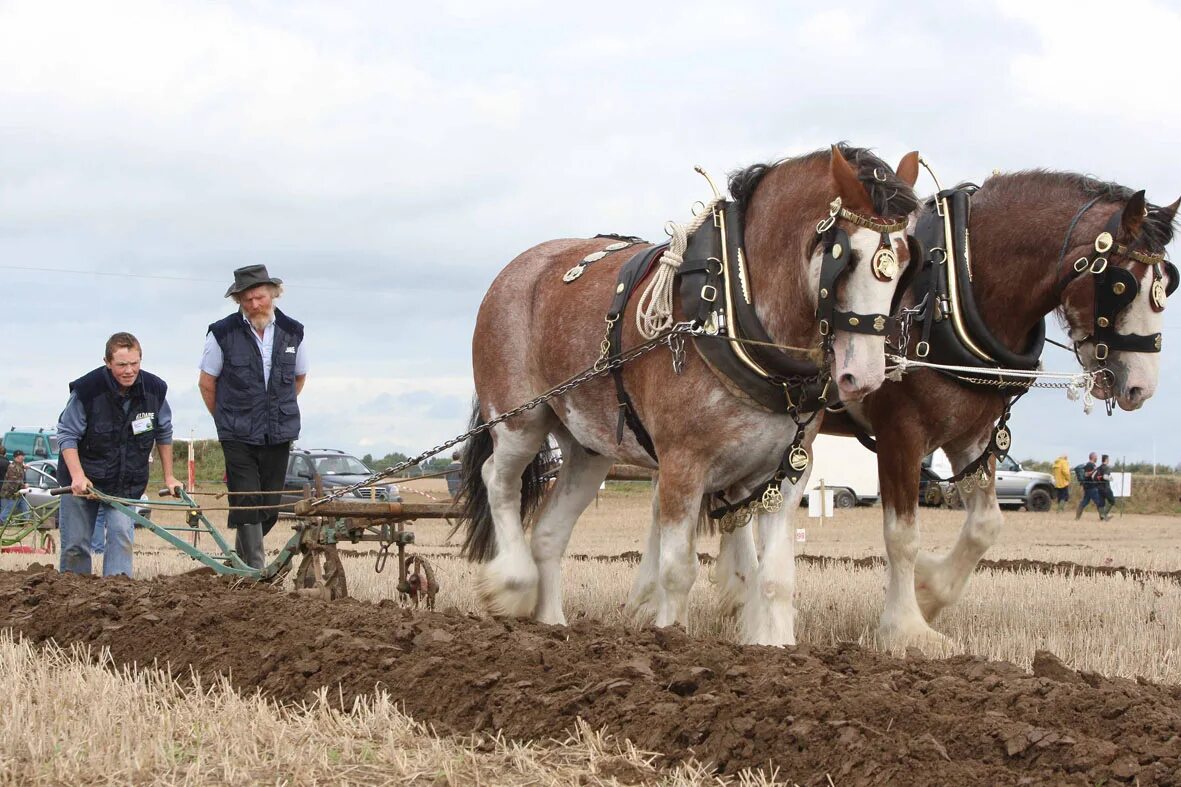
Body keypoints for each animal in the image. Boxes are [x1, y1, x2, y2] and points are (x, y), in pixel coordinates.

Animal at [460, 142, 921, 642]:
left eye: (904, 260)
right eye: (846, 257)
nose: (864, 376)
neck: (732, 307)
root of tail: (516, 269)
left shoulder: (788, 471)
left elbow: (775, 577)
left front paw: (777, 645)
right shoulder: (682, 464)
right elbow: (678, 570)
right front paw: (670, 634)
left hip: (588, 448)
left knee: (548, 533)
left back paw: (553, 624)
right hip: (518, 420)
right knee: (497, 478)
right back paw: (512, 585)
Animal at [713, 168, 1176, 647]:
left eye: (1170, 281)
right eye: (1122, 284)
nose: (1141, 386)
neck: (954, 288)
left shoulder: (971, 437)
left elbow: (985, 526)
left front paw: (930, 591)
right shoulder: (900, 434)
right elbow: (902, 535)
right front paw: (905, 628)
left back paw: (738, 594)